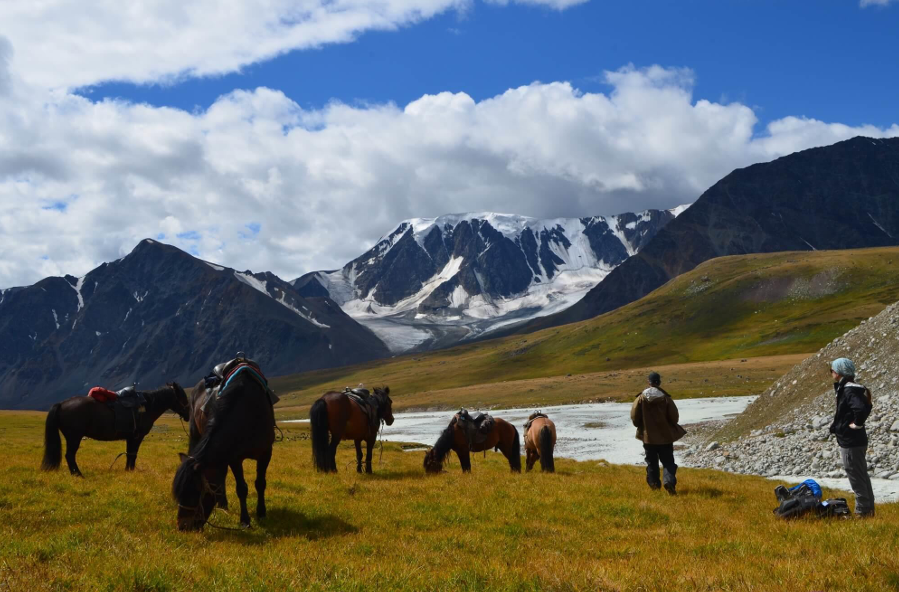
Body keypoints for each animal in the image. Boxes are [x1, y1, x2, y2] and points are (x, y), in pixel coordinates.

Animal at [41, 383, 190, 476]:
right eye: (183, 396)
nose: (189, 414)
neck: (147, 406)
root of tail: (61, 404)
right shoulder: (137, 437)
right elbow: (133, 454)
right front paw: (131, 471)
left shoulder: (131, 437)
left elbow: (130, 454)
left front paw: (128, 470)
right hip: (74, 438)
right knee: (70, 456)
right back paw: (78, 474)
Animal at [172, 369, 275, 530]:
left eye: (195, 492)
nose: (182, 526)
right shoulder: (234, 458)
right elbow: (241, 488)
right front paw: (245, 520)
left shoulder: (265, 453)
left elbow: (260, 483)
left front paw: (261, 513)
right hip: (196, 435)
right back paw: (222, 504)